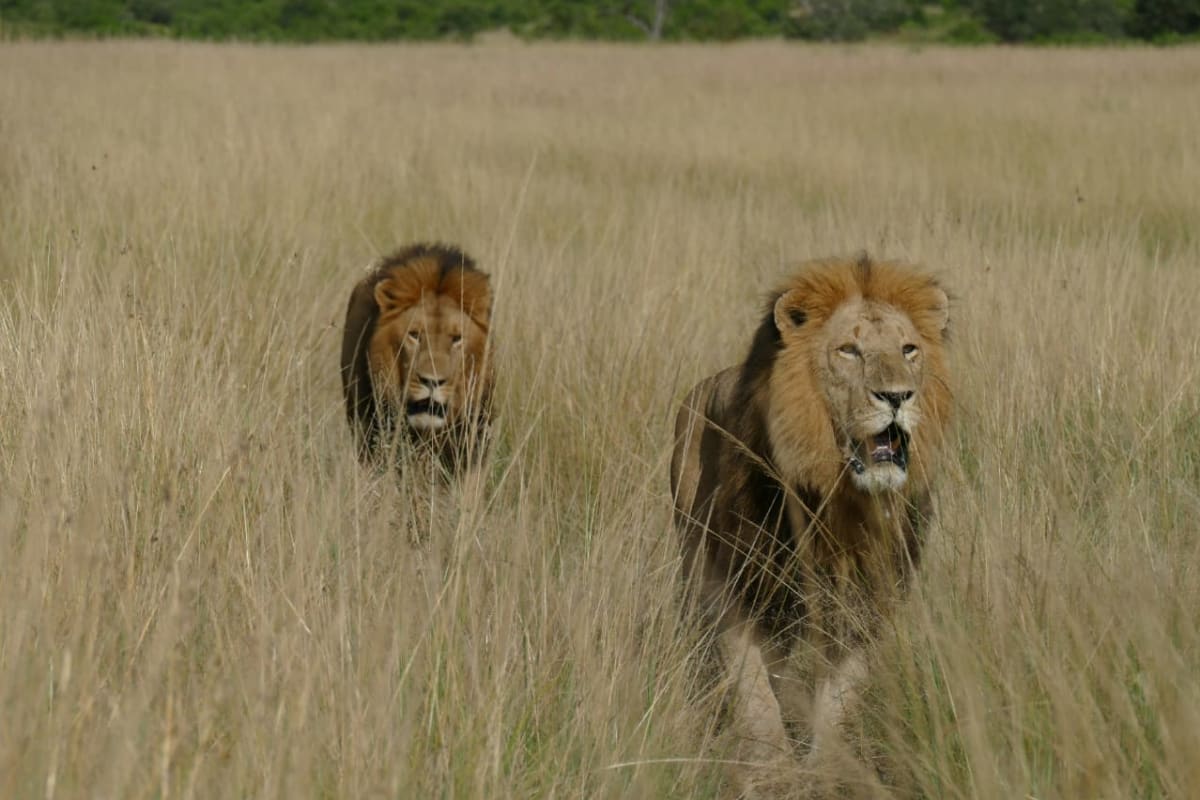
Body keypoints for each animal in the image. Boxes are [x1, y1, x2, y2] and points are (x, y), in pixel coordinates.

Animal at [670, 254, 951, 791]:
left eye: (909, 350)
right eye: (849, 351)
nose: (898, 397)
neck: (837, 501)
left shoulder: (870, 597)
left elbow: (840, 698)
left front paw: (824, 771)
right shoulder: (730, 583)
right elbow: (754, 692)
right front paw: (772, 773)